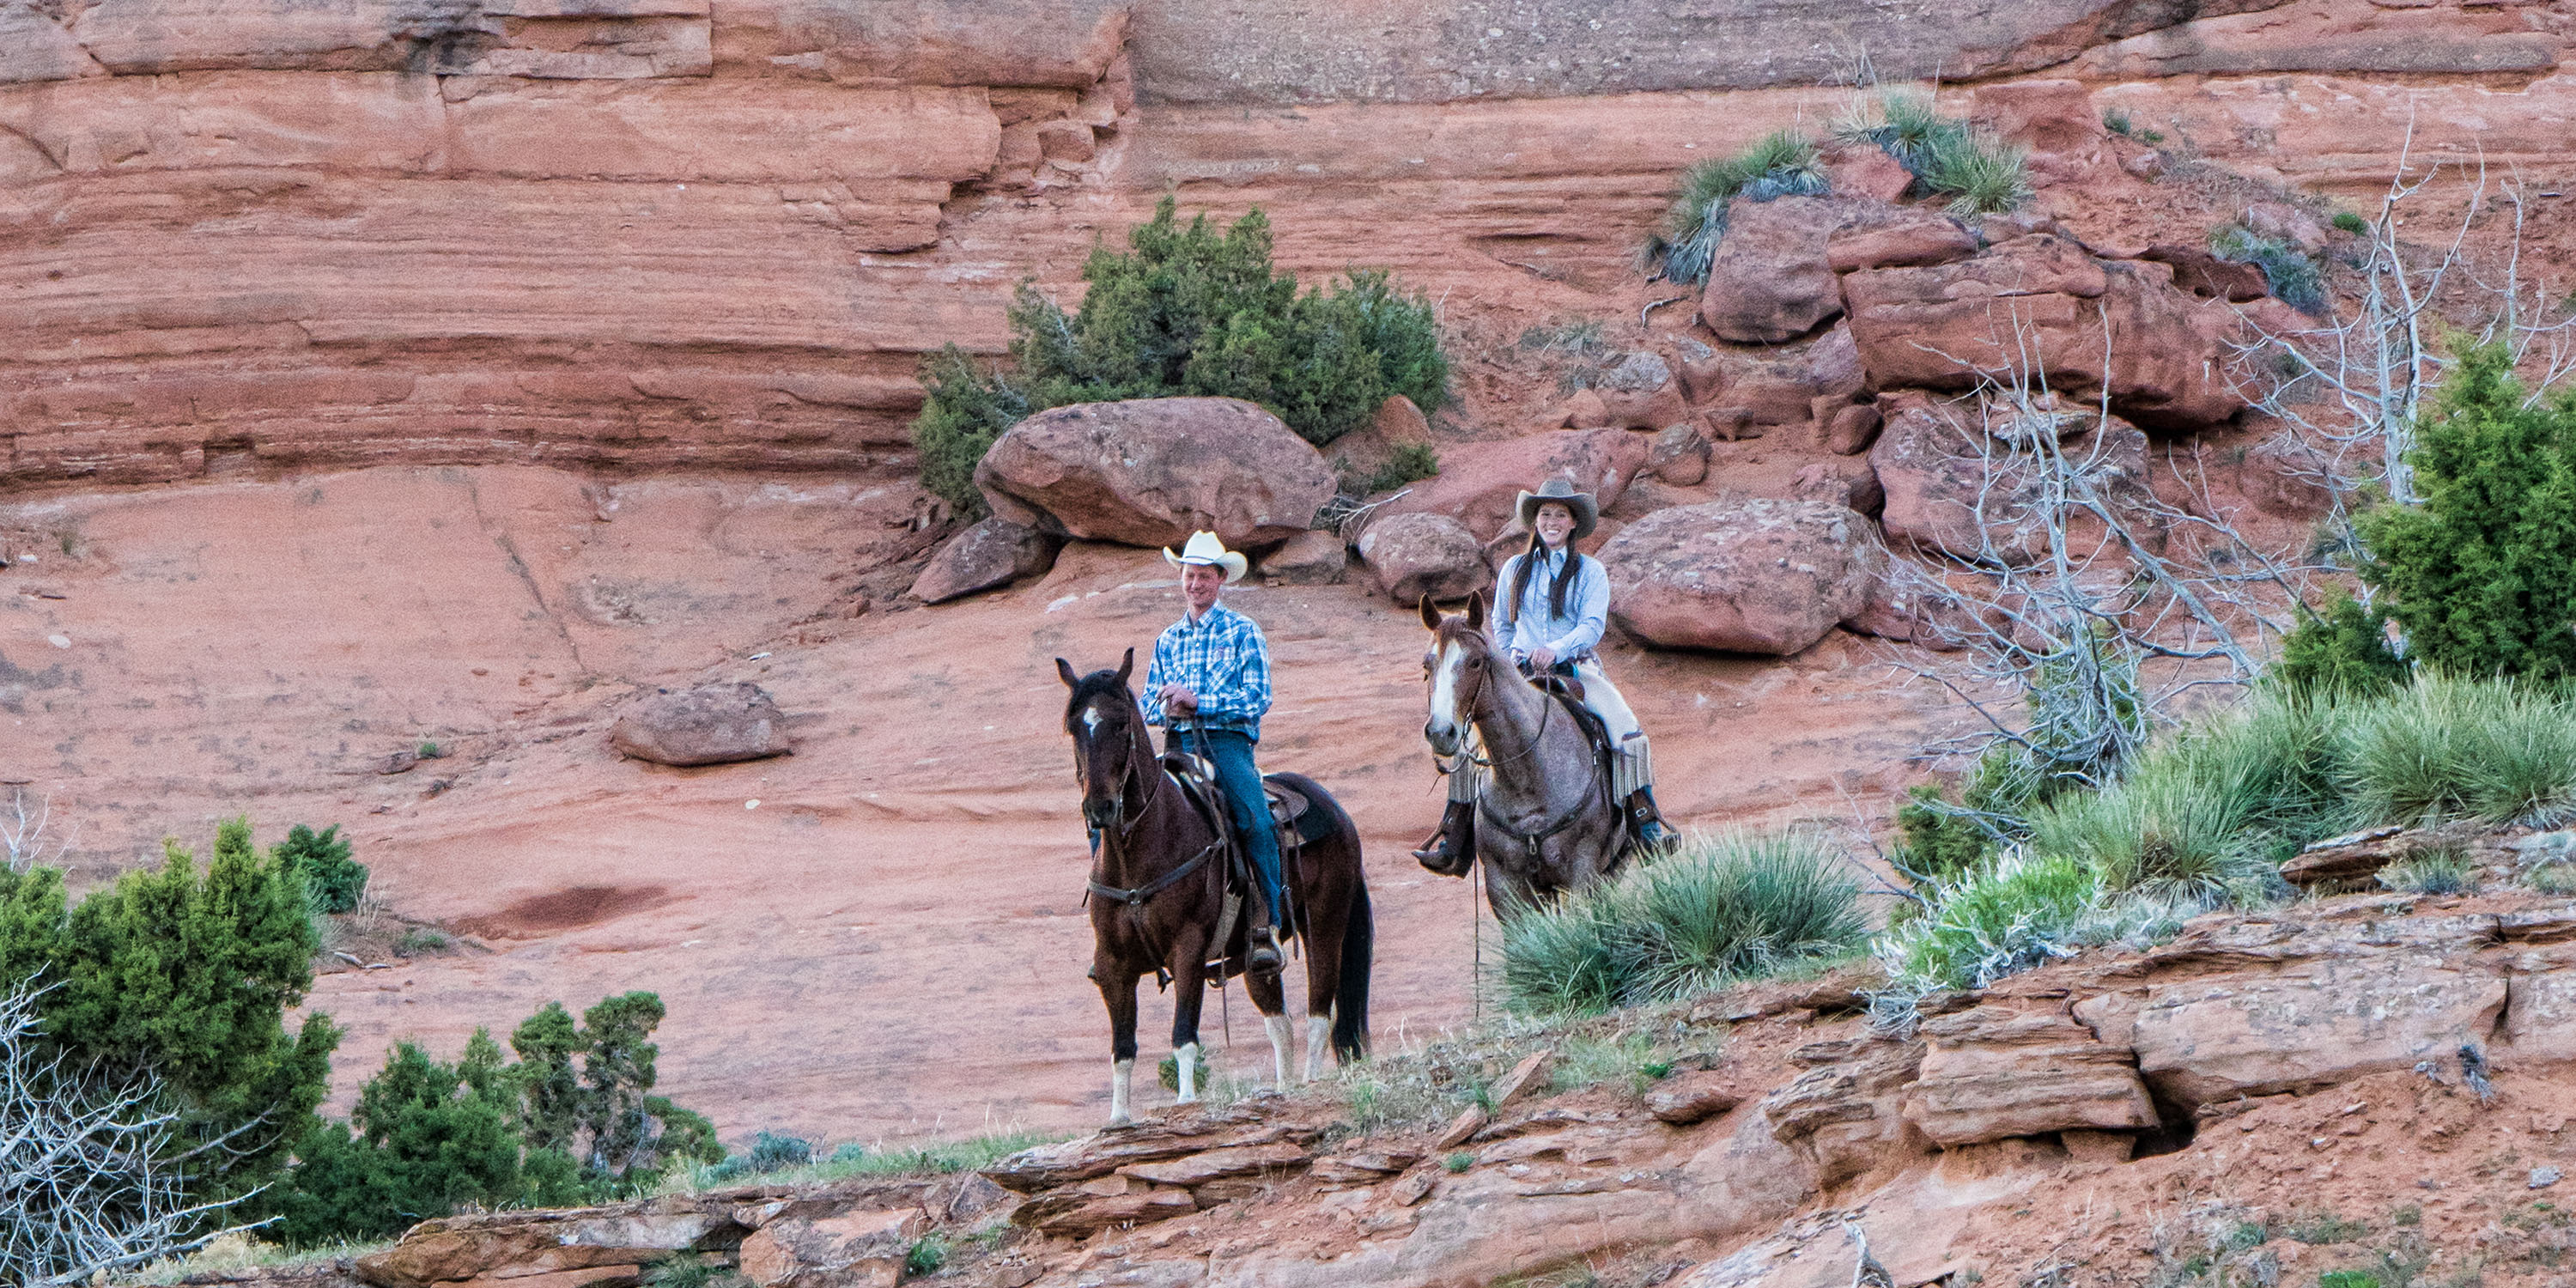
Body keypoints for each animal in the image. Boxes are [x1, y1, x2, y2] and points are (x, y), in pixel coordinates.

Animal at [1051, 649, 1370, 1123]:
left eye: (1121, 724)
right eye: (1074, 726)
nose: (1100, 807)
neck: (1136, 857)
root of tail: (1337, 812)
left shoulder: (1188, 949)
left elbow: (1184, 1033)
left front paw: (1186, 1101)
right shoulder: (1112, 965)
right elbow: (1122, 1049)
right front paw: (1118, 1119)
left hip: (1326, 928)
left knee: (1318, 1013)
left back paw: (1312, 1082)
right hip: (1259, 960)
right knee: (1280, 1024)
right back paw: (1284, 1089)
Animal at [1412, 592, 1628, 917]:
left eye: (1475, 662)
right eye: (1428, 664)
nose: (1440, 731)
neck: (1526, 779)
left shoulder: (1582, 871)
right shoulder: (1503, 885)